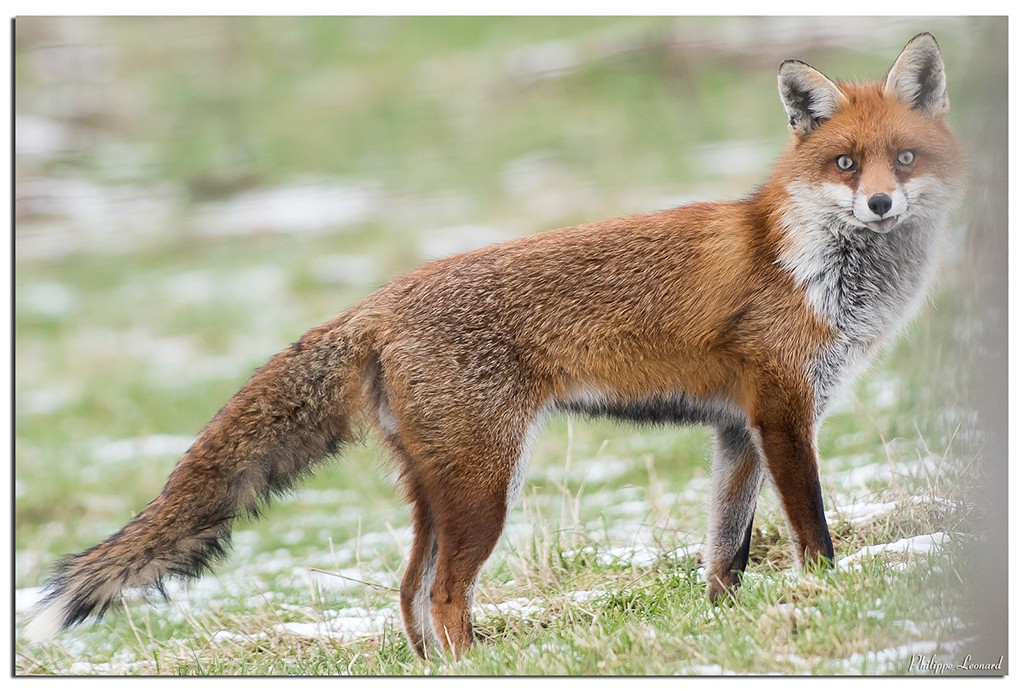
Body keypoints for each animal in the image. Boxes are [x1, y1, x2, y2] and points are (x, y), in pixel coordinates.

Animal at [25, 33, 966, 659]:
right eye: (844, 164)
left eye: (902, 159)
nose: (880, 205)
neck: (813, 263)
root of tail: (378, 301)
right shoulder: (781, 412)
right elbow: (814, 531)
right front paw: (824, 594)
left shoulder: (736, 431)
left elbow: (724, 551)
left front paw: (727, 620)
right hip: (485, 486)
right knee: (441, 592)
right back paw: (475, 659)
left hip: (440, 491)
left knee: (407, 593)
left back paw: (438, 665)